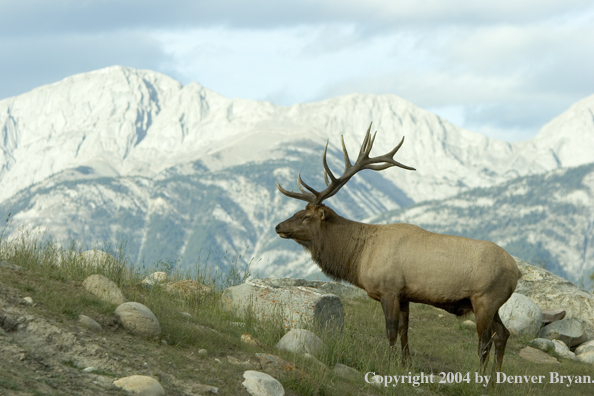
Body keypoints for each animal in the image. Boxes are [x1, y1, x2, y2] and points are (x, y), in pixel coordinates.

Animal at [272, 123, 520, 372]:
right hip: (492, 304)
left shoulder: (389, 289)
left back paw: (481, 376)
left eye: (306, 217)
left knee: (485, 341)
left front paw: (389, 363)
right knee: (503, 334)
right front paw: (406, 362)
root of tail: (516, 271)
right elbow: (404, 330)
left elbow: (391, 330)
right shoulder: (404, 295)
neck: (358, 257)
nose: (278, 226)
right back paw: (495, 376)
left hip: (485, 298)